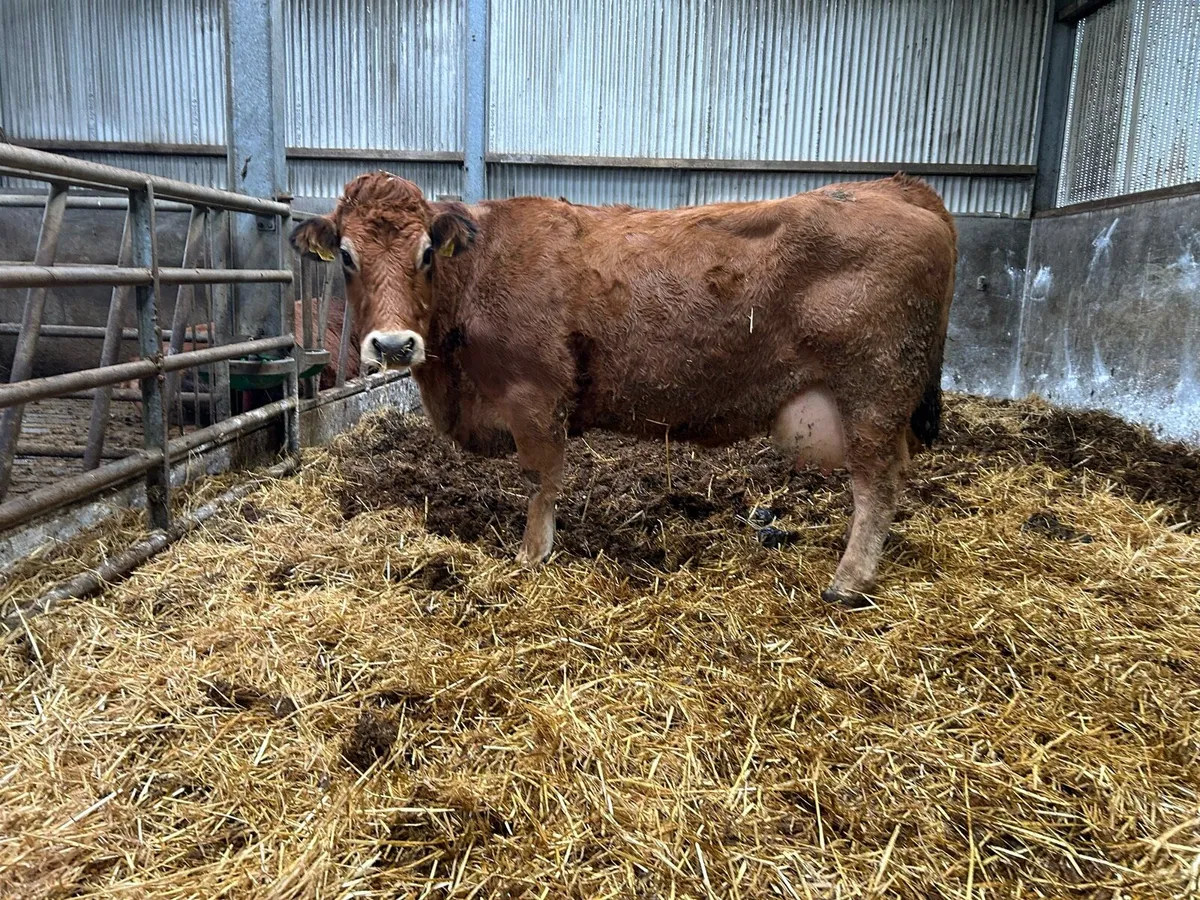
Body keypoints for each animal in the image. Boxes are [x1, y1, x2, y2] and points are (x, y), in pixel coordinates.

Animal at [290, 172, 957, 607]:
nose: (393, 345)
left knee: (878, 483)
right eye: (345, 256)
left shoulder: (536, 398)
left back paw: (849, 581)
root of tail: (895, 186)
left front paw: (532, 556)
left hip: (874, 393)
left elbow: (541, 480)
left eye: (427, 251)